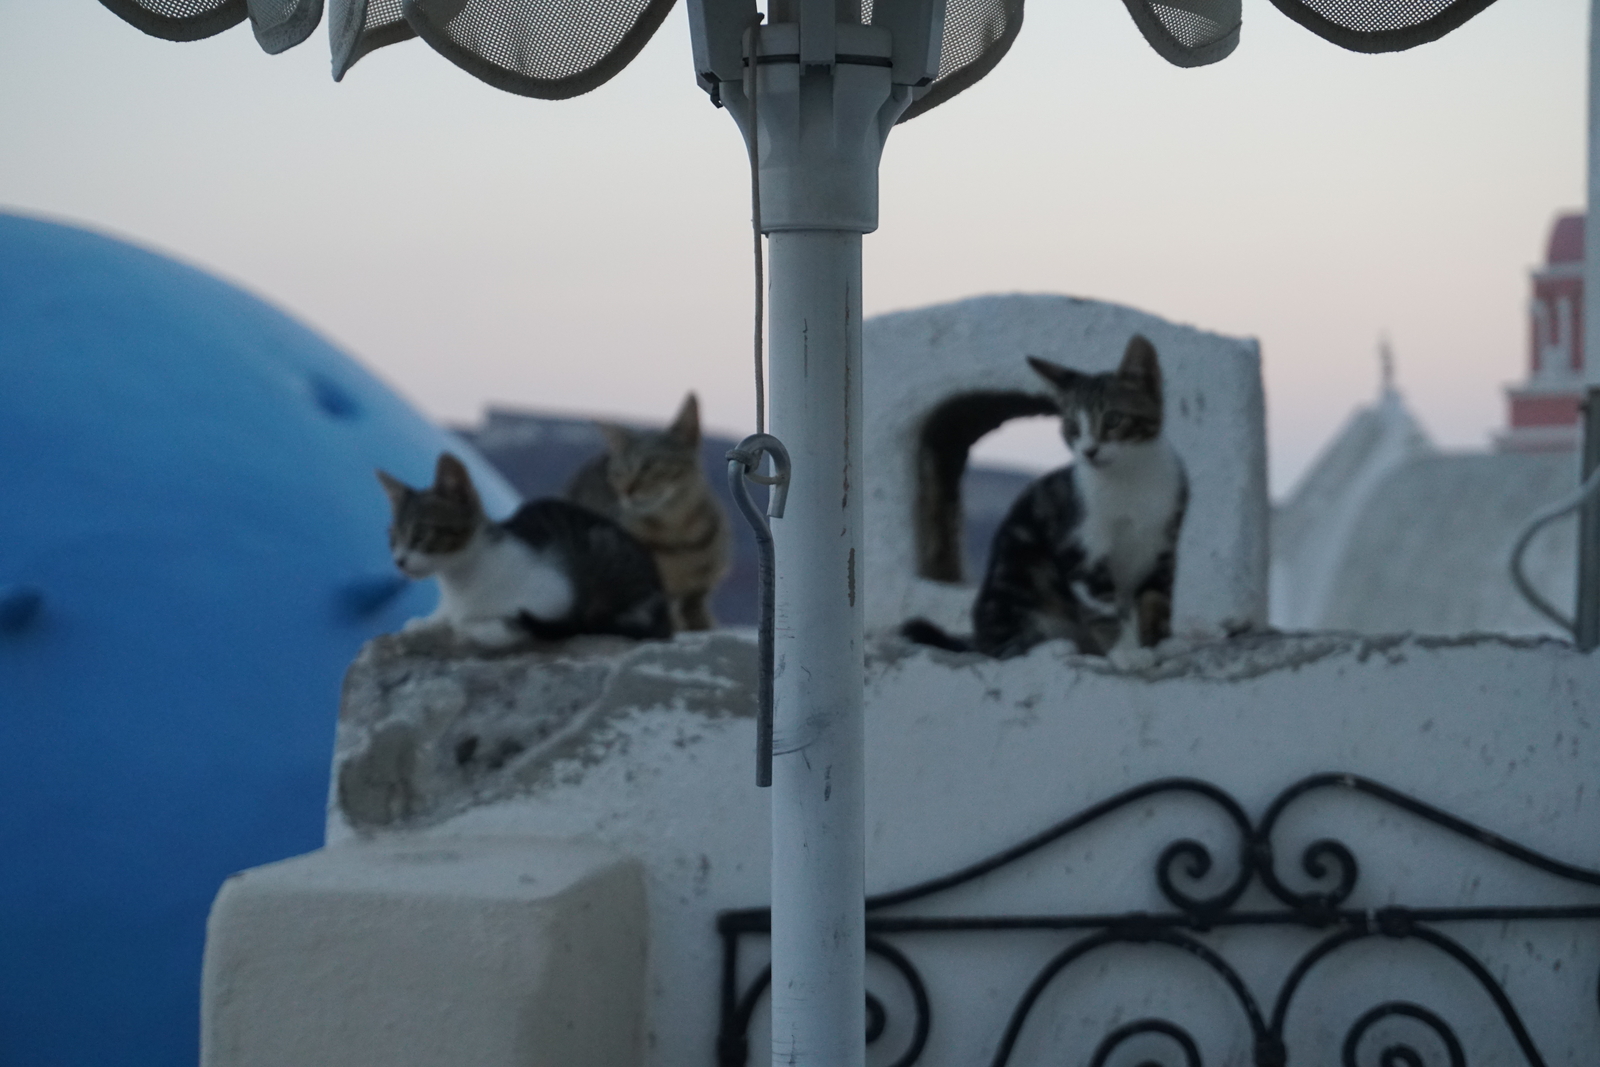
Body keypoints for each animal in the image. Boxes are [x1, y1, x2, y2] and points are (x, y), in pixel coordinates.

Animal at [377, 454, 672, 646]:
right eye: (393, 537)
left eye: (421, 533)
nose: (399, 561)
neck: (458, 581)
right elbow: (442, 618)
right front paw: (424, 623)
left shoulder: (554, 595)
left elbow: (485, 623)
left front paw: (467, 627)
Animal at [563, 396, 732, 639]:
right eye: (618, 473)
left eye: (649, 465)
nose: (625, 491)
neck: (676, 533)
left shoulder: (705, 581)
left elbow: (695, 604)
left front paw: (701, 623)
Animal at [902, 337, 1190, 662]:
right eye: (1072, 428)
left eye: (1114, 420)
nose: (1089, 451)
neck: (1131, 476)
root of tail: (980, 636)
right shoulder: (1078, 546)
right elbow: (1105, 608)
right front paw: (1126, 651)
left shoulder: (1164, 541)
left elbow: (1158, 596)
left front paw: (1161, 644)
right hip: (1019, 571)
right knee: (1005, 647)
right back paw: (1051, 646)